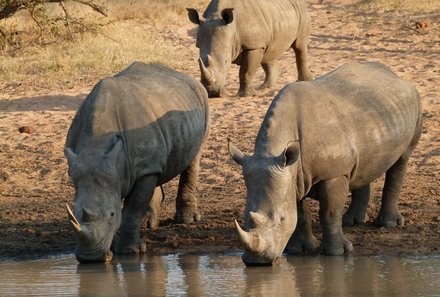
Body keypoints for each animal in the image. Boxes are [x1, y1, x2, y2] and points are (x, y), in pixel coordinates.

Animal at [64, 61, 211, 262]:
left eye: (112, 214)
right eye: (75, 215)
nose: (90, 258)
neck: (95, 147)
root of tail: (186, 76)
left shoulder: (142, 170)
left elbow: (133, 208)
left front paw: (130, 251)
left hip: (202, 101)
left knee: (194, 157)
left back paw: (187, 220)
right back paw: (148, 224)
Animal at [229, 61, 422, 264]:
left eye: (281, 219)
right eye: (244, 217)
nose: (257, 262)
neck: (272, 152)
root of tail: (393, 74)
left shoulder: (333, 173)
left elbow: (329, 213)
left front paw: (336, 252)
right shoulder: (292, 177)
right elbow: (300, 214)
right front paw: (299, 250)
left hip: (414, 100)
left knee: (402, 160)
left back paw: (388, 224)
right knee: (363, 166)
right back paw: (351, 222)